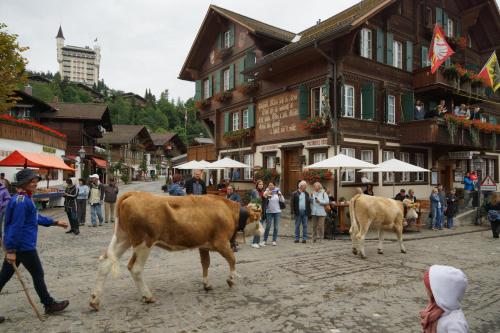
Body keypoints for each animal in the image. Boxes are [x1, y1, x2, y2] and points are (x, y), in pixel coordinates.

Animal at [89, 191, 264, 310]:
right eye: (258, 219)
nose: (263, 231)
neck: (229, 211)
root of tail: (134, 193)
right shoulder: (221, 242)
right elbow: (232, 259)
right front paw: (231, 279)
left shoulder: (203, 245)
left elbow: (205, 264)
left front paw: (207, 284)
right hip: (144, 243)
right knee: (135, 268)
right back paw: (148, 296)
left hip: (123, 238)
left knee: (105, 263)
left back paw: (95, 300)